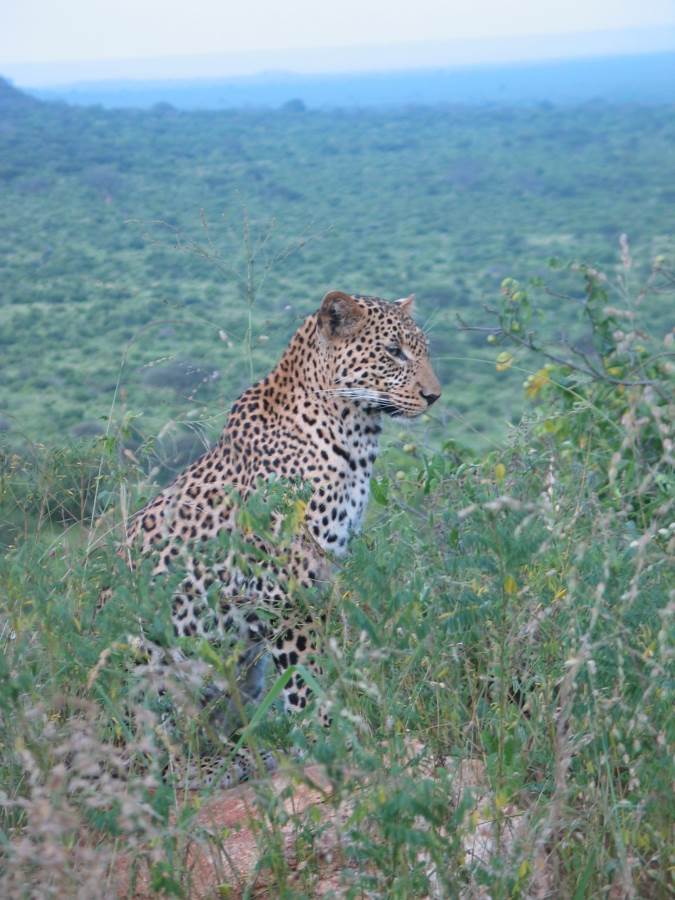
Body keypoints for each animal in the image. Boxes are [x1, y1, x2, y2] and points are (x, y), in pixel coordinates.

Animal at [117, 292, 444, 784]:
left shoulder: (323, 574)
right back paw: (221, 765)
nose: (433, 396)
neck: (354, 433)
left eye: (421, 349)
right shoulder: (285, 590)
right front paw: (326, 736)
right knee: (153, 761)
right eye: (393, 352)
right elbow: (305, 677)